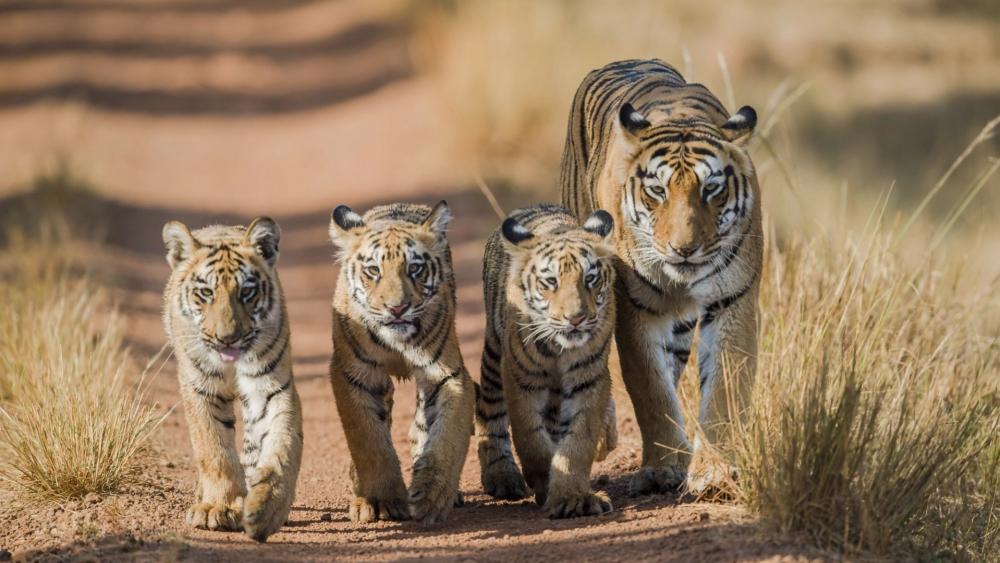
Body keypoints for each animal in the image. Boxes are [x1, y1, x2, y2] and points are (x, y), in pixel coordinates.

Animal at [161, 217, 303, 542]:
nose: (227, 338)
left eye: (247, 292)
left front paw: (268, 507)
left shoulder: (271, 387)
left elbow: (282, 444)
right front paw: (220, 507)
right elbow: (214, 449)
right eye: (206, 293)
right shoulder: (201, 389)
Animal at [328, 201, 475, 525]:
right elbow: (369, 440)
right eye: (373, 270)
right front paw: (380, 499)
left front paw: (432, 496)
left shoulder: (446, 376)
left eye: (415, 269)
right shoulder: (354, 376)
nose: (397, 308)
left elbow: (446, 435)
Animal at [475, 204, 618, 518]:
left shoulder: (589, 379)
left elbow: (577, 441)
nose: (576, 318)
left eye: (590, 279)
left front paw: (572, 496)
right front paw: (544, 484)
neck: (559, 349)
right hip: (493, 355)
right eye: (551, 281)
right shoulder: (520, 378)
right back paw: (502, 477)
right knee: (489, 412)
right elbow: (531, 439)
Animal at [559, 59, 763, 494]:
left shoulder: (732, 301)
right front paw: (664, 466)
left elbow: (724, 385)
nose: (683, 249)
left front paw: (714, 470)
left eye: (711, 189)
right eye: (657, 191)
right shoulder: (636, 308)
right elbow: (649, 389)